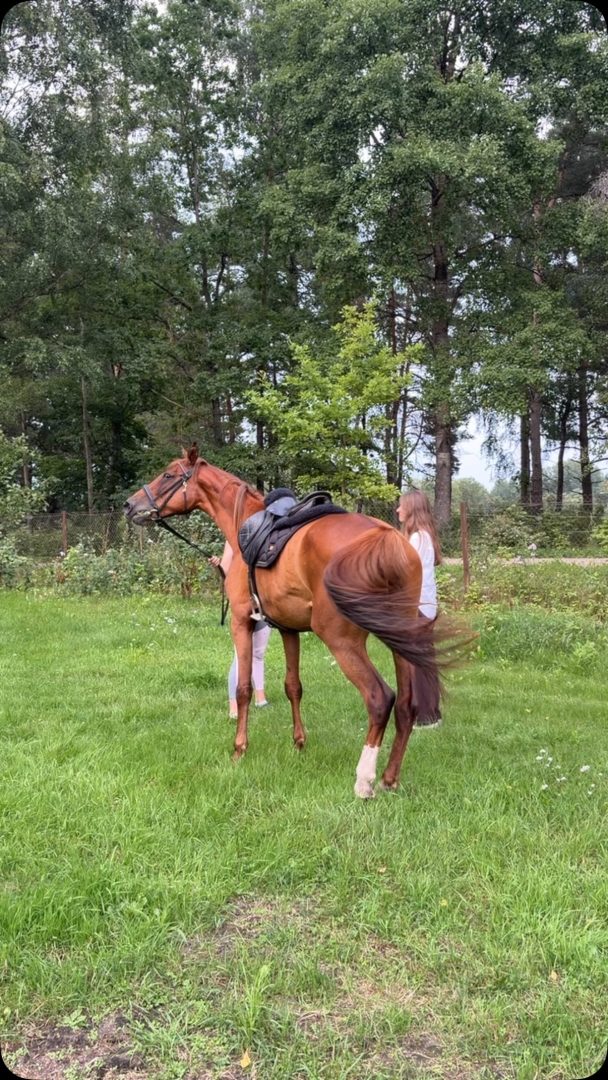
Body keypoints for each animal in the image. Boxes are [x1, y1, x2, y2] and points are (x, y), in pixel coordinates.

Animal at [124, 444, 455, 798]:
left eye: (168, 475)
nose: (130, 505)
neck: (246, 527)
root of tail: (386, 538)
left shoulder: (241, 622)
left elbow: (243, 688)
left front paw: (239, 748)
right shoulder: (288, 630)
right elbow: (293, 686)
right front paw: (298, 742)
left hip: (342, 641)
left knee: (380, 699)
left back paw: (364, 781)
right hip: (399, 639)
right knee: (407, 705)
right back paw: (390, 778)